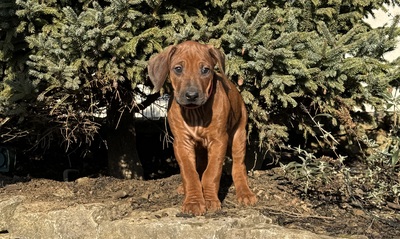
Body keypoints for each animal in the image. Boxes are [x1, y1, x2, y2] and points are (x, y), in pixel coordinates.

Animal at [147, 40, 256, 216]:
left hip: (239, 134)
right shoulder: (182, 143)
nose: (191, 95)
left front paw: (210, 200)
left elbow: (211, 173)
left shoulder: (219, 141)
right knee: (199, 166)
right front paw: (194, 201)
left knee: (238, 166)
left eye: (205, 70)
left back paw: (245, 193)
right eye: (178, 69)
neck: (195, 113)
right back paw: (183, 188)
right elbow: (190, 173)